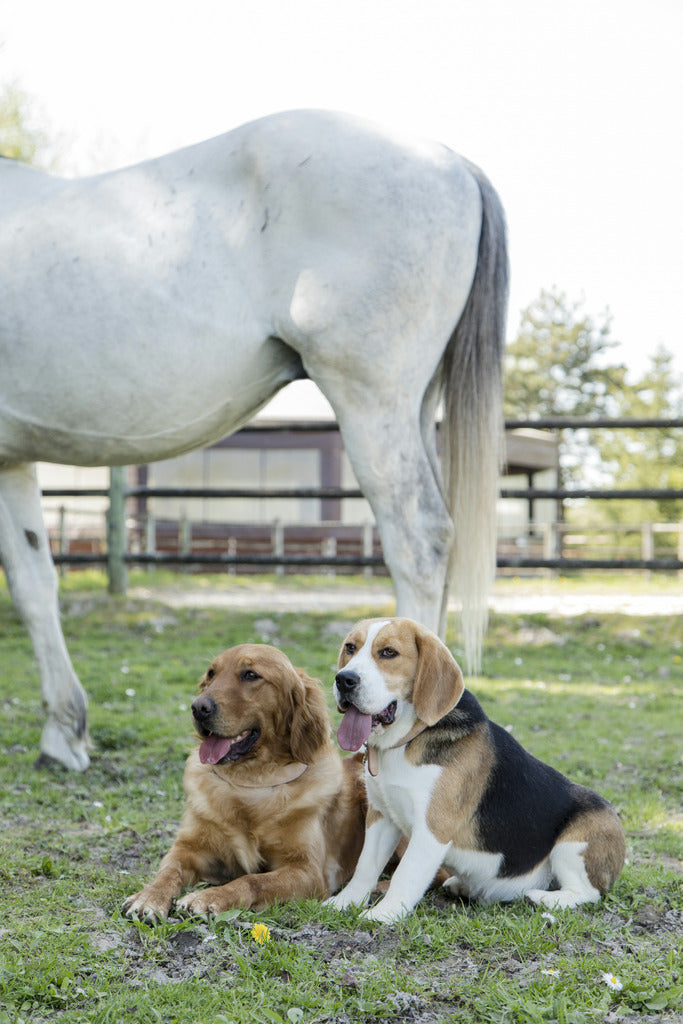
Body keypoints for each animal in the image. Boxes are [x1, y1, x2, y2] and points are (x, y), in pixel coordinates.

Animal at [0, 112, 507, 770]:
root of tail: (454, 165)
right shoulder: (12, 461)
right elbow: (35, 584)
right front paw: (64, 733)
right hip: (414, 407)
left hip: (372, 401)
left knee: (419, 541)